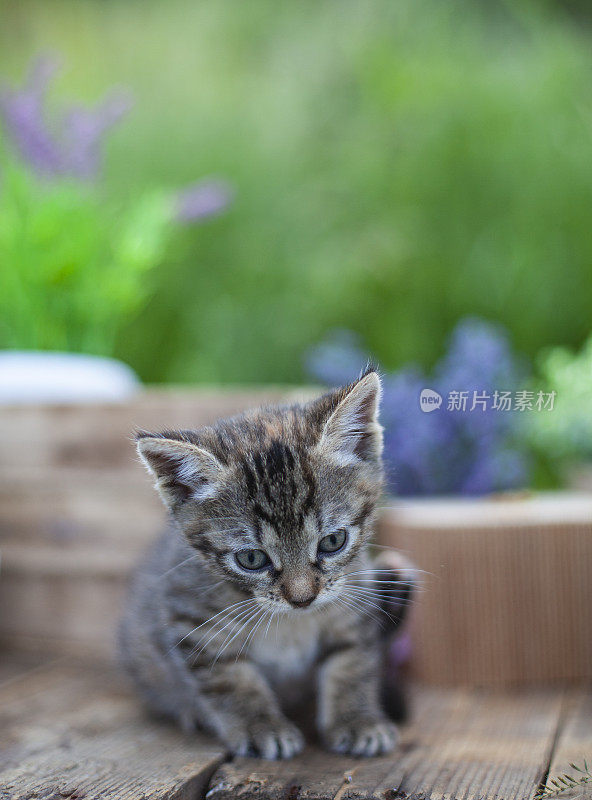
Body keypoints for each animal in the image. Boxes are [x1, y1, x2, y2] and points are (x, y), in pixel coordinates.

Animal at [119, 372, 414, 760]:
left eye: (333, 541)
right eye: (251, 559)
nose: (302, 598)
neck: (292, 622)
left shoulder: (353, 604)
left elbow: (353, 662)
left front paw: (357, 720)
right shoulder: (193, 620)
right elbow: (229, 680)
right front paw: (260, 727)